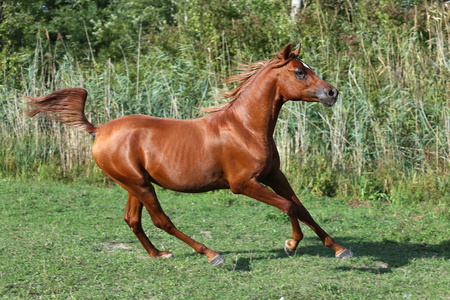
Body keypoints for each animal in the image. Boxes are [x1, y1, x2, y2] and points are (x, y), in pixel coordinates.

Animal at [26, 42, 354, 264]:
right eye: (299, 72)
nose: (333, 93)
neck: (246, 127)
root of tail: (99, 129)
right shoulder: (243, 184)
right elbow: (288, 207)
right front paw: (291, 244)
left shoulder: (274, 175)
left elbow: (301, 207)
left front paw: (340, 249)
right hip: (139, 184)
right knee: (161, 220)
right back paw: (211, 254)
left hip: (134, 183)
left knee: (133, 220)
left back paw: (159, 254)